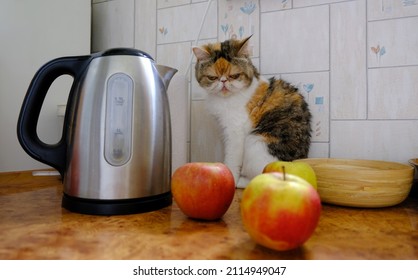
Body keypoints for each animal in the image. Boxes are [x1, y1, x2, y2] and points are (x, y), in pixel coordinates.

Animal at [193, 35, 310, 188]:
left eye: (234, 76)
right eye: (212, 78)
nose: (223, 81)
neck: (225, 99)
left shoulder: (235, 131)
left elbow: (232, 157)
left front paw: (231, 176)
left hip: (255, 142)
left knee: (261, 176)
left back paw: (242, 181)